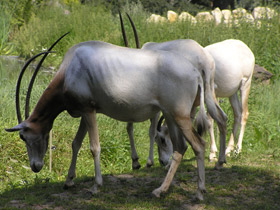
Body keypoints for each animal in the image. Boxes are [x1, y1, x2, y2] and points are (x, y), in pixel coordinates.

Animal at [5, 32, 209, 200]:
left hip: (180, 116)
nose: (35, 166)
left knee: (198, 145)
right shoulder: (84, 112)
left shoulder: (89, 110)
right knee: (181, 147)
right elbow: (75, 143)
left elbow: (94, 147)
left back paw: (199, 192)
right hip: (170, 115)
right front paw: (69, 181)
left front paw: (96, 186)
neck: (70, 69)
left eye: (23, 136)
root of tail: (195, 73)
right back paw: (161, 190)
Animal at [120, 13, 228, 169]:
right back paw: (220, 161)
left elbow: (148, 129)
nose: (161, 161)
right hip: (207, 94)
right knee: (220, 117)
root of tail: (203, 58)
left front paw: (144, 161)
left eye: (162, 140)